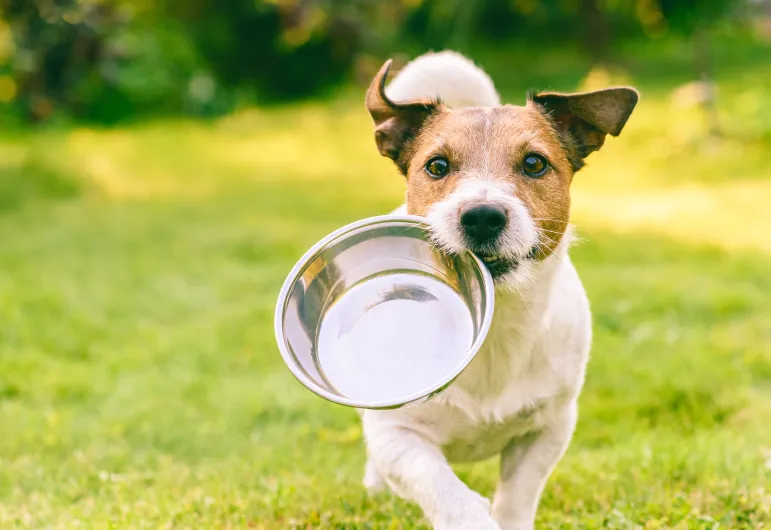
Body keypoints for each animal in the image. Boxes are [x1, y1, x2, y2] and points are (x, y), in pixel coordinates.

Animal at [362, 50, 640, 528]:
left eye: (534, 163)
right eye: (437, 166)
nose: (482, 216)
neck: (494, 328)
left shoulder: (548, 429)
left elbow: (516, 497)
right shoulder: (396, 435)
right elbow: (438, 483)